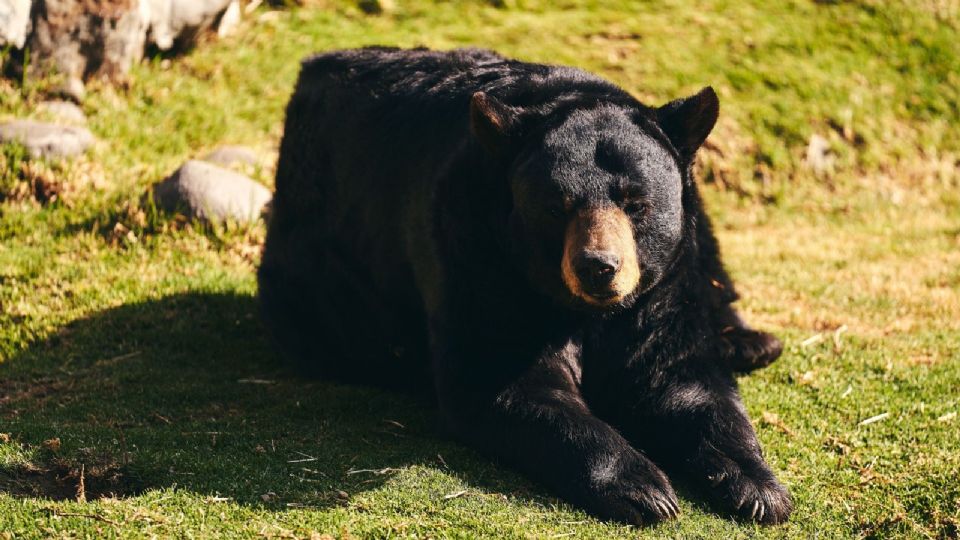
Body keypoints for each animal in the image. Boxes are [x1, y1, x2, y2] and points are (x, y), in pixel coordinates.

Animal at [258, 47, 791, 525]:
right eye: (558, 206)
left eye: (636, 203)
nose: (600, 266)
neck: (580, 309)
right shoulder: (477, 254)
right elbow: (506, 381)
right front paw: (643, 488)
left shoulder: (658, 287)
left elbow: (678, 375)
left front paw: (758, 486)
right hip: (316, 261)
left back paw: (748, 342)